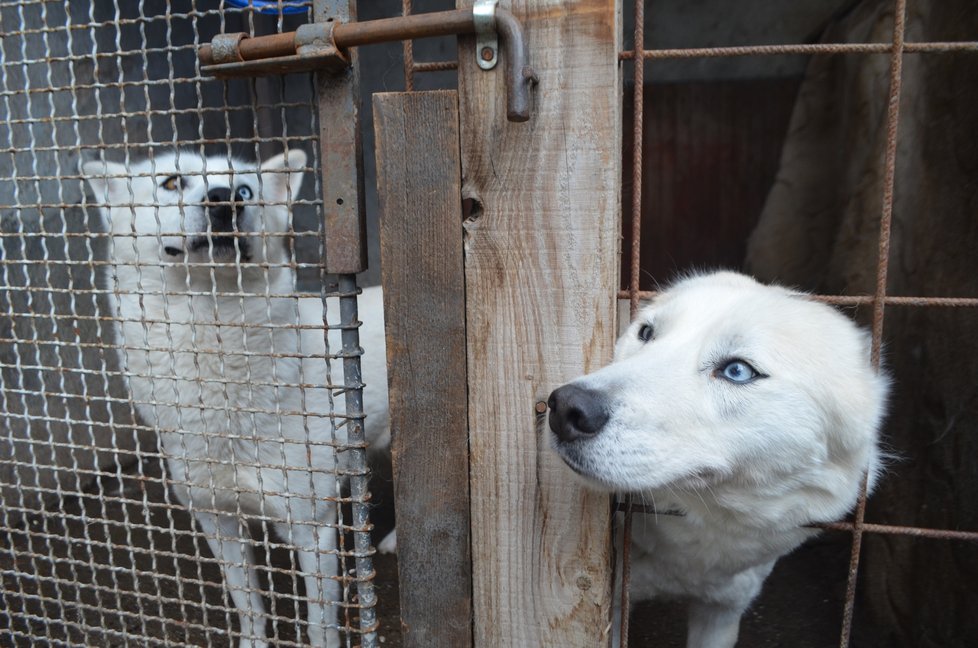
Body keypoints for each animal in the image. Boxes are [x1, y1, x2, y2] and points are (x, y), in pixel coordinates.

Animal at [81, 149, 386, 644]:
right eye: (172, 181)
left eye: (246, 190)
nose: (224, 199)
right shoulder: (216, 520)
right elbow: (249, 606)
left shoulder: (314, 527)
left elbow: (319, 622)